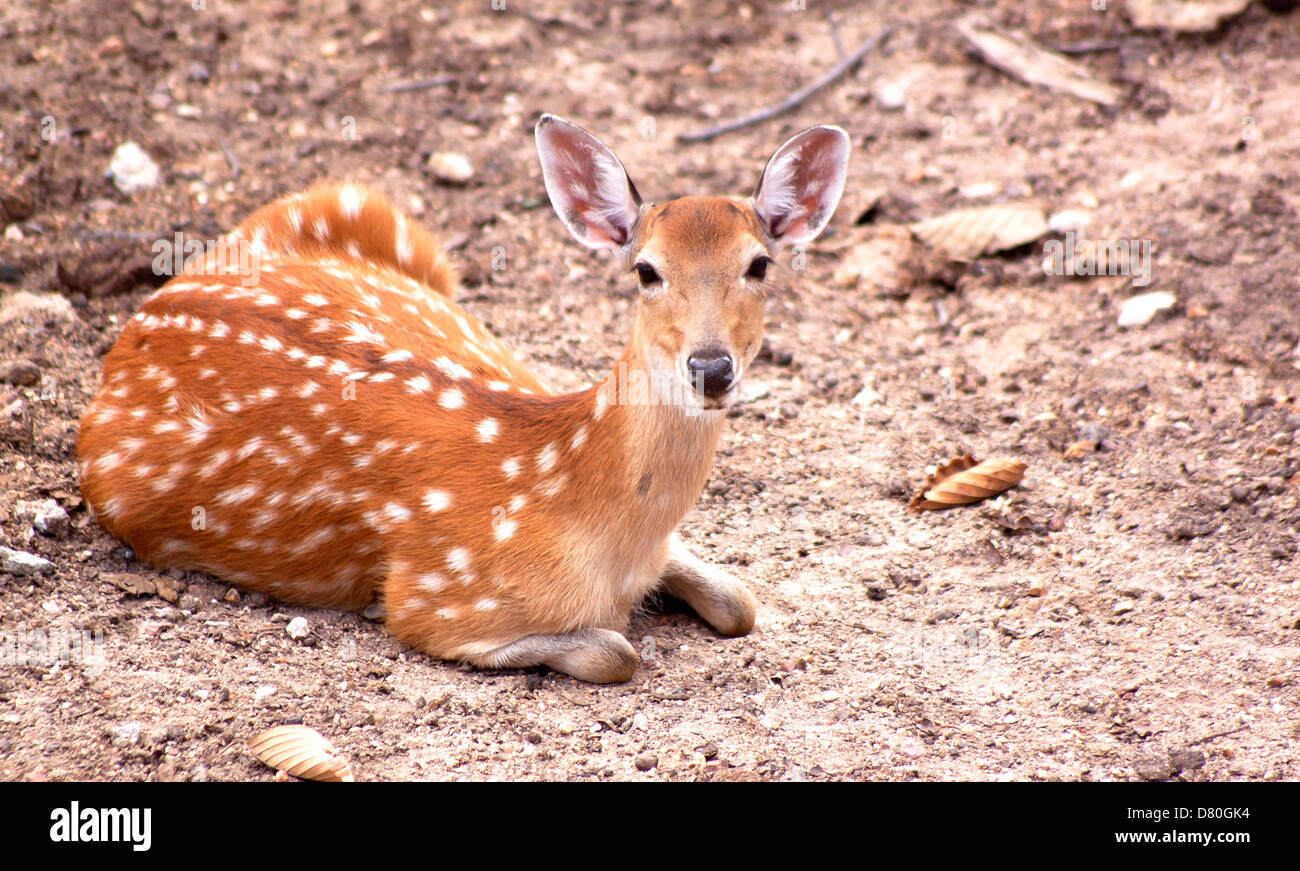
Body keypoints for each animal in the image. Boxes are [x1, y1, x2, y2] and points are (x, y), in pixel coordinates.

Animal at [81, 115, 852, 686]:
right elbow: (615, 650)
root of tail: (150, 311)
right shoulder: (438, 595)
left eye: (759, 263)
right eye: (646, 270)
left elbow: (739, 602)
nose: (711, 367)